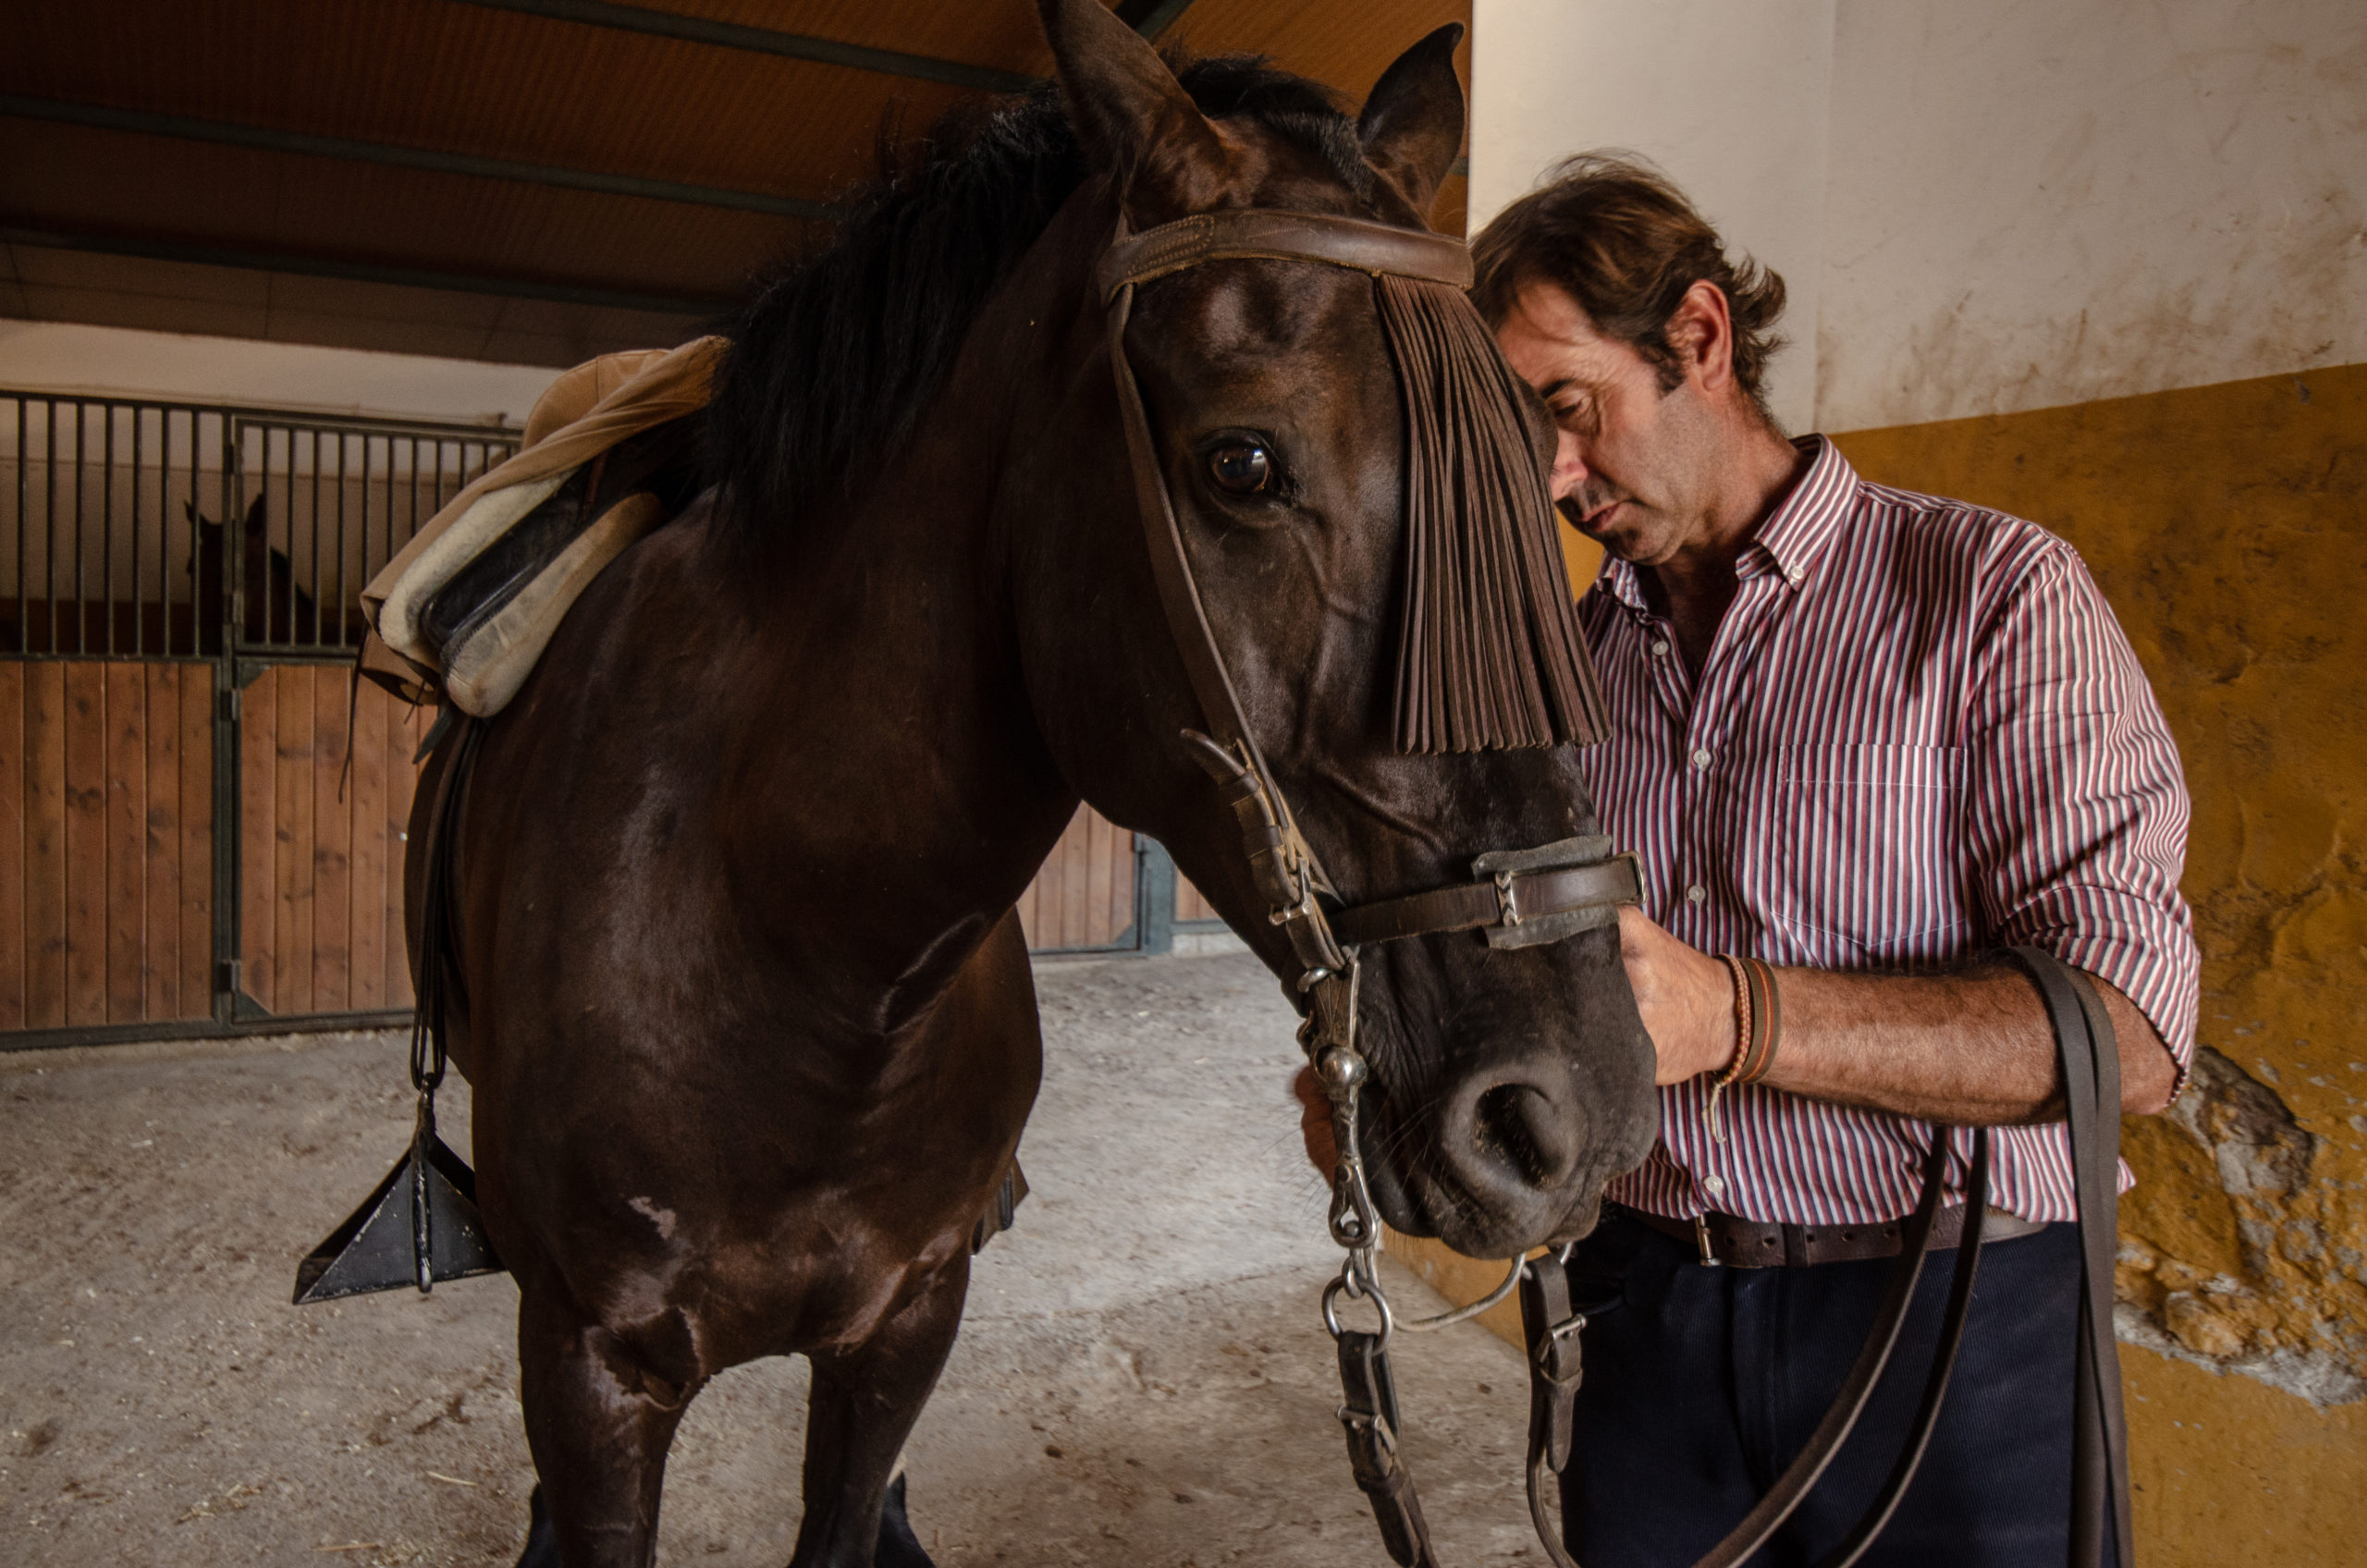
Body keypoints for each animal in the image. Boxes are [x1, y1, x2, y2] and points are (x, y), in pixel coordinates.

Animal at [407, 6, 1657, 1562]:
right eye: (1241, 462)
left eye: (1532, 454)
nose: (1575, 1117)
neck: (794, 946)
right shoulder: (589, 1369)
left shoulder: (904, 1325)